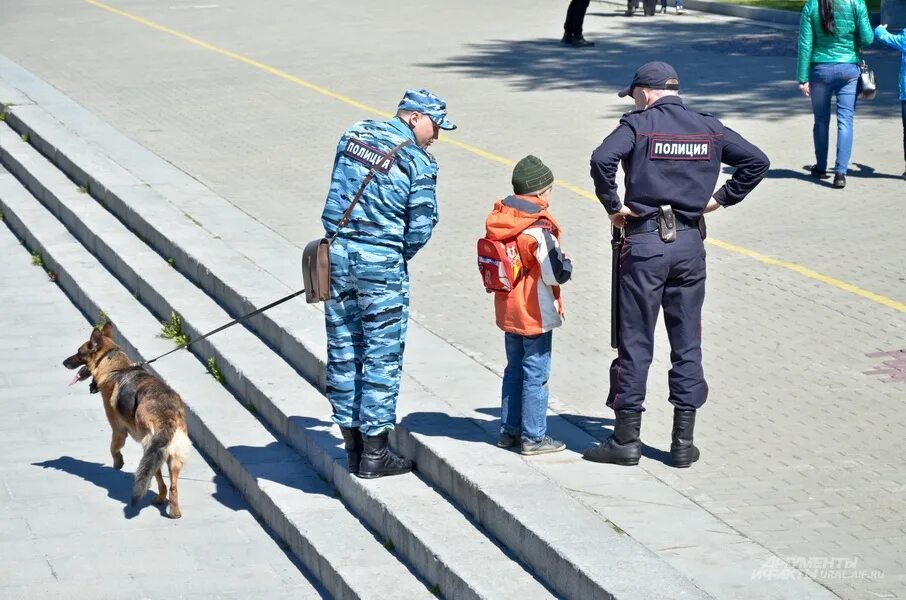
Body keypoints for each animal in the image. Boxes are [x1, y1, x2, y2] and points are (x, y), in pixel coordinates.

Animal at [64, 324, 192, 516]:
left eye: (79, 352)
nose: (64, 362)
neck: (114, 367)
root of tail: (166, 415)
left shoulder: (118, 429)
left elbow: (113, 448)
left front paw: (118, 463)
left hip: (150, 449)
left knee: (158, 478)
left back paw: (161, 500)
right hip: (171, 454)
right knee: (172, 486)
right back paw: (173, 511)